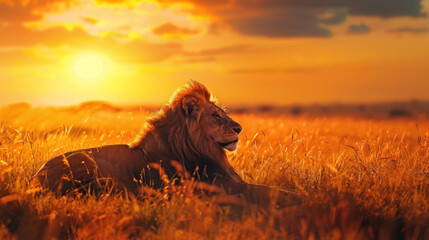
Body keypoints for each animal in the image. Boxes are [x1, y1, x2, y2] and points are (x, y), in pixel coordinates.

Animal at [32, 80, 298, 206]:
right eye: (216, 116)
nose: (239, 129)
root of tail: (35, 179)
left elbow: (266, 188)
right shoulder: (213, 187)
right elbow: (263, 191)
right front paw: (298, 198)